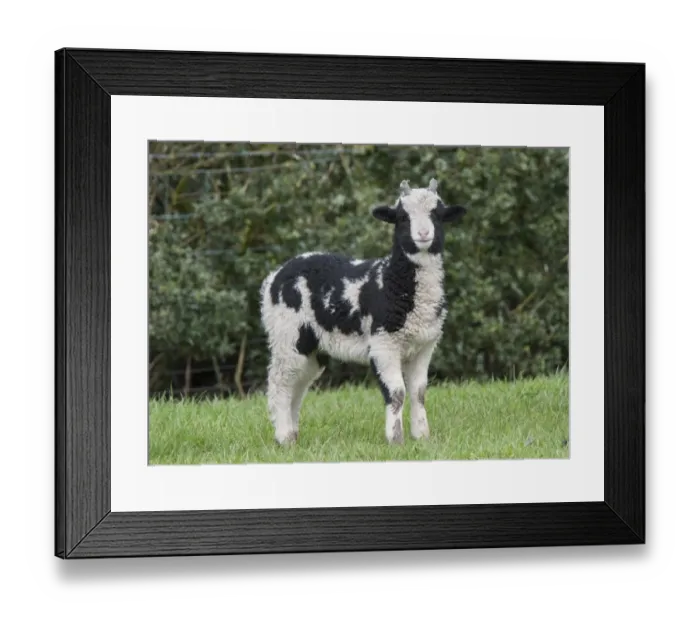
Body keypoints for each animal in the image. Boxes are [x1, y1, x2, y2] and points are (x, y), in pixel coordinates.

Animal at [259, 178, 467, 446]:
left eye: (437, 215)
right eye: (402, 217)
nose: (423, 234)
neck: (392, 281)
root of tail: (273, 278)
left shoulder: (425, 345)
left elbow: (419, 392)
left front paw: (421, 436)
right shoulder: (383, 344)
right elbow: (397, 392)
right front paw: (395, 439)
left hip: (311, 347)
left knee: (299, 384)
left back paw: (293, 436)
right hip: (287, 333)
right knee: (281, 383)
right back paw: (284, 436)